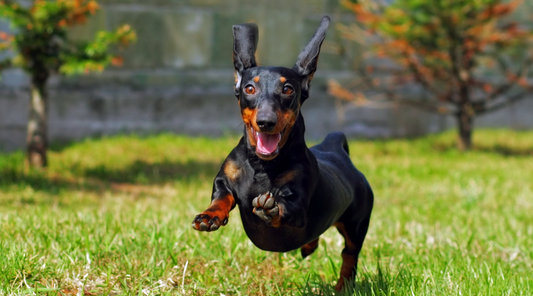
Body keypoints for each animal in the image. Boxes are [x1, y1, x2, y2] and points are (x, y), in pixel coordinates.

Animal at [192, 16, 374, 292]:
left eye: (288, 89)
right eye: (249, 89)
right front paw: (209, 216)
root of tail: (334, 148)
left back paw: (343, 286)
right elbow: (222, 196)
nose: (266, 122)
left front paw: (271, 208)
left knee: (349, 255)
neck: (261, 165)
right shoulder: (224, 180)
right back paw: (309, 246)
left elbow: (287, 208)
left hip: (356, 224)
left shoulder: (298, 201)